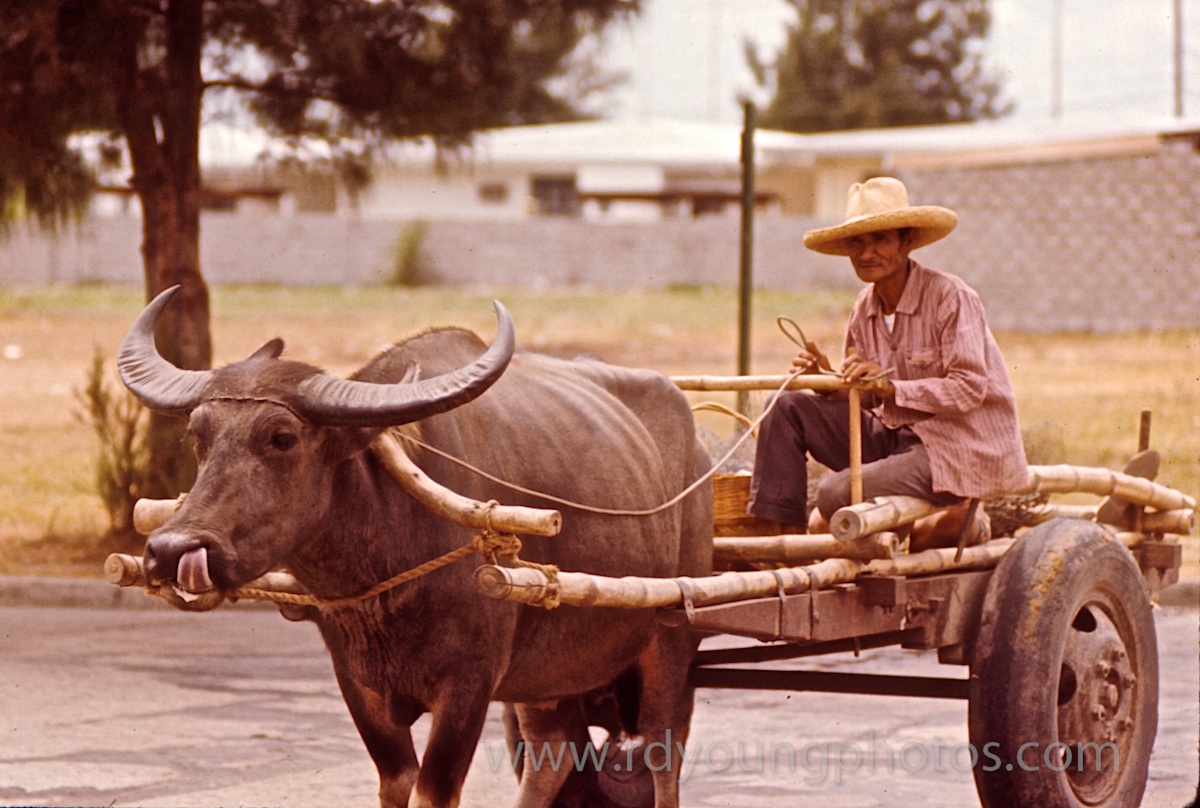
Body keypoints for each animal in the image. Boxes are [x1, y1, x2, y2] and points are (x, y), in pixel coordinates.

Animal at [117, 288, 712, 808]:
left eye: (282, 437)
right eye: (197, 435)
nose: (171, 550)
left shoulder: (469, 682)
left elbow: (434, 791)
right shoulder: (358, 682)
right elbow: (397, 782)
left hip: (671, 642)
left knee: (661, 757)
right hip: (552, 673)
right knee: (555, 751)